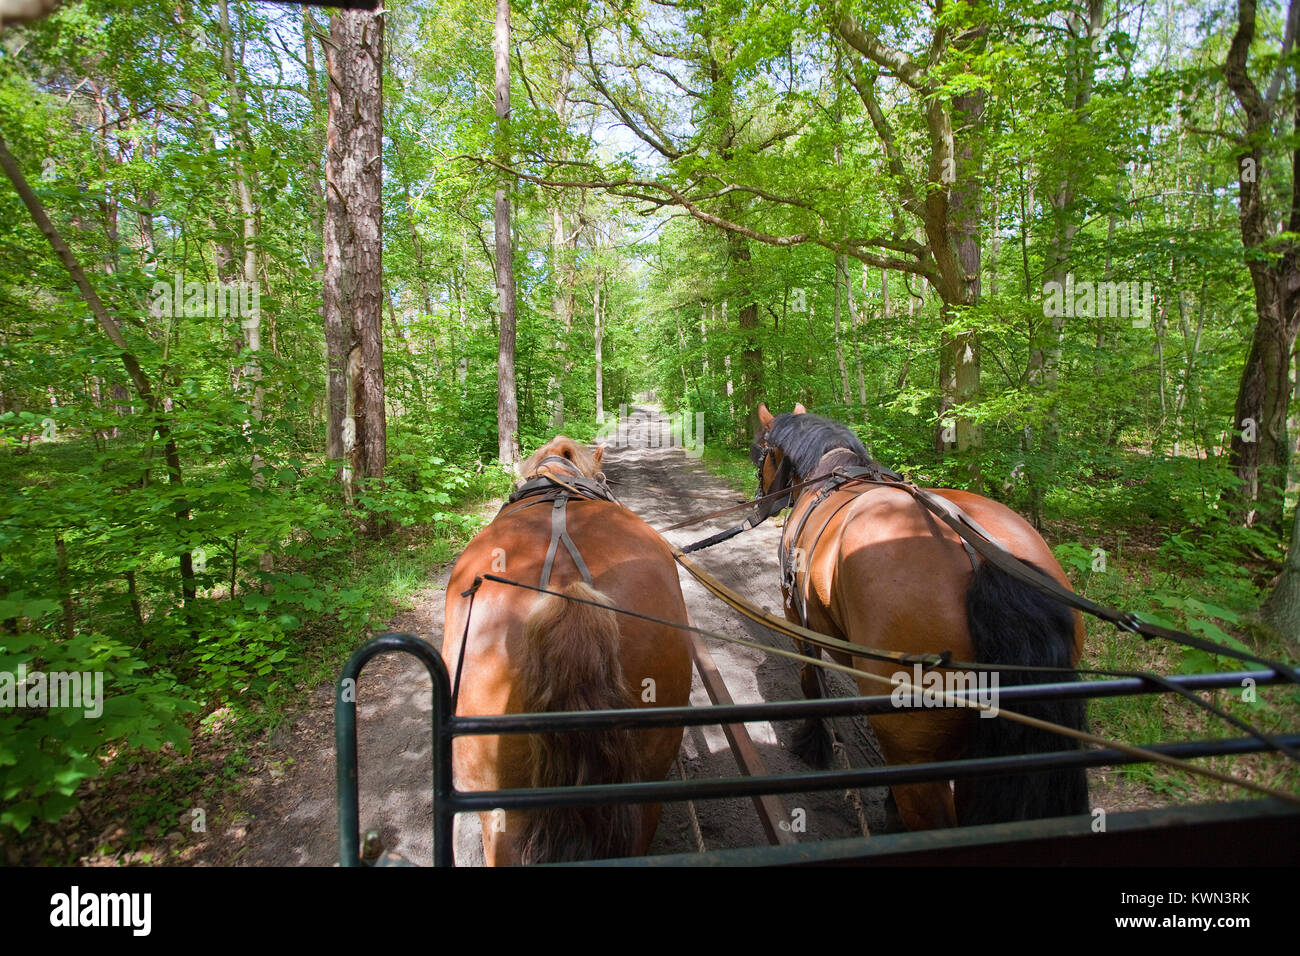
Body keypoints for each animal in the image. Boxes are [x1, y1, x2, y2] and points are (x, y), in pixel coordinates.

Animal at [748, 403, 1092, 832]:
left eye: (761, 455)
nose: (759, 503)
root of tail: (980, 558)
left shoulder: (796, 615)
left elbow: (811, 681)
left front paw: (811, 744)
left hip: (913, 743)